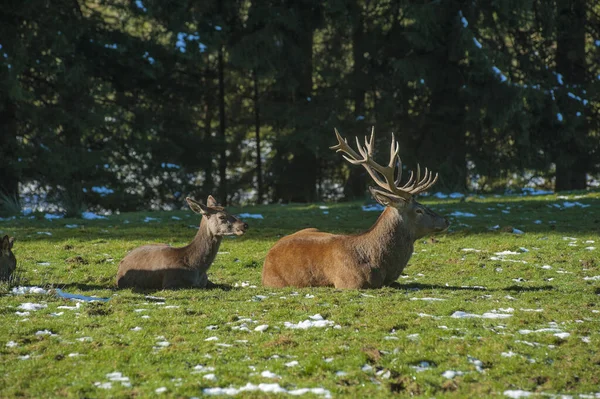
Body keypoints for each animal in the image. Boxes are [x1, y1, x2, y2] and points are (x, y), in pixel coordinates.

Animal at [116, 197, 247, 290]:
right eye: (221, 217)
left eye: (229, 211)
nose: (244, 225)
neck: (196, 267)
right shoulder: (170, 283)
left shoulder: (206, 280)